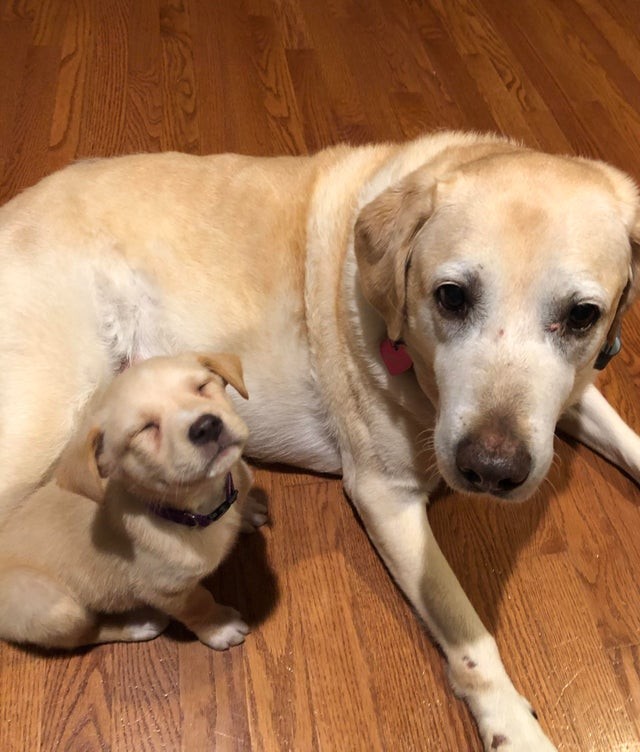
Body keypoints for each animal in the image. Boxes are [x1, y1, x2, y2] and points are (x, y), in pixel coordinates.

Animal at [0, 354, 268, 652]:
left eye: (202, 387)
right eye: (146, 429)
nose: (207, 426)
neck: (200, 508)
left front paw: (248, 510)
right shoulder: (168, 591)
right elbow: (199, 605)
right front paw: (219, 627)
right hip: (58, 609)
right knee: (89, 634)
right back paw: (138, 624)